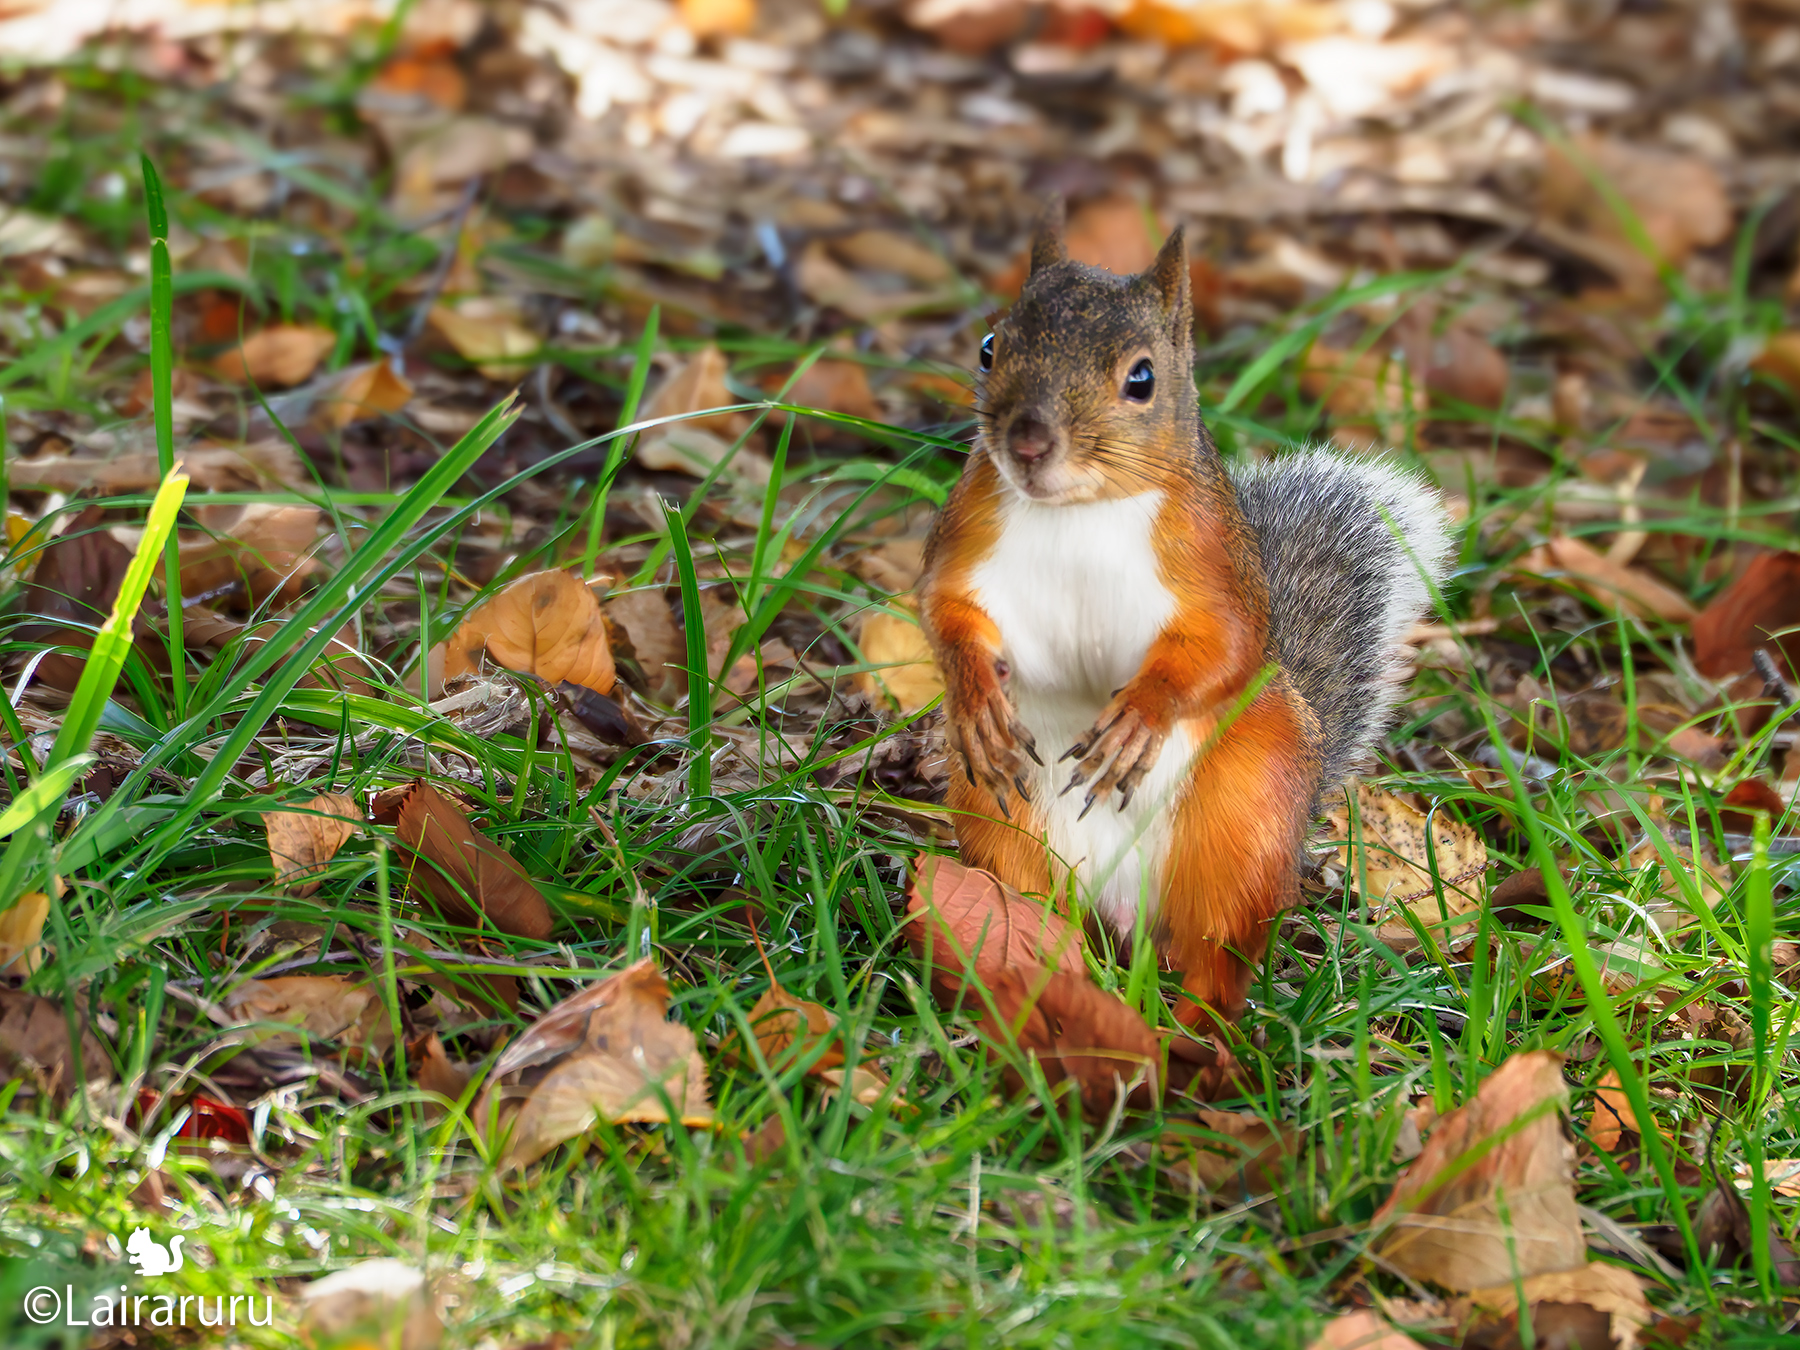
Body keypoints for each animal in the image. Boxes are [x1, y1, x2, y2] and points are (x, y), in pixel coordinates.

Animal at [918, 202, 1453, 1028]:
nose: (1029, 442)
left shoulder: (1214, 565)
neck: (1078, 512)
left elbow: (1226, 647)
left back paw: (1200, 1032)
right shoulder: (964, 542)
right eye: (988, 348)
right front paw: (976, 700)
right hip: (1003, 826)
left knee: (1217, 952)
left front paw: (1140, 716)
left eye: (1142, 378)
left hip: (1242, 824)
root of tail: (1124, 915)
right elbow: (943, 612)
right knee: (1036, 911)